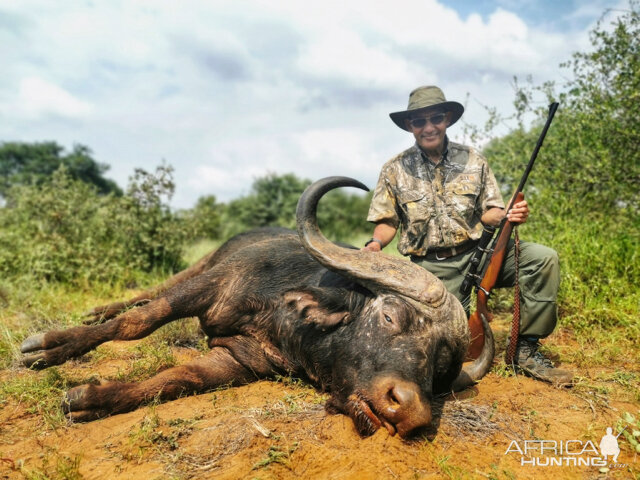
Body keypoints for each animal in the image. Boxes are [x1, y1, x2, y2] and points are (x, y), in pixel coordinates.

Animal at [17, 177, 492, 438]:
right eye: (391, 315)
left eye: (441, 368)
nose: (410, 411)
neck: (280, 319)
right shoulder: (210, 285)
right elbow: (138, 322)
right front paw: (48, 348)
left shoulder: (239, 359)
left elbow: (175, 380)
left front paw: (92, 400)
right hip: (198, 266)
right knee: (142, 297)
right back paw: (94, 313)